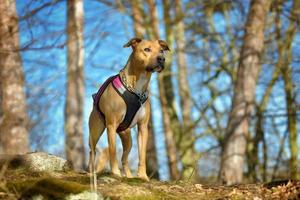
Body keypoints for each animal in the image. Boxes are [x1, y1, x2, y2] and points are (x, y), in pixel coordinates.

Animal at [88, 37, 170, 181]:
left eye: (161, 51)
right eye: (147, 49)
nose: (161, 59)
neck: (136, 88)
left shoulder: (143, 128)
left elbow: (142, 155)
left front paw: (142, 176)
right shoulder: (111, 125)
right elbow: (112, 151)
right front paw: (115, 173)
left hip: (127, 138)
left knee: (124, 158)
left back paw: (129, 176)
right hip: (95, 132)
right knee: (92, 151)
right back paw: (91, 173)